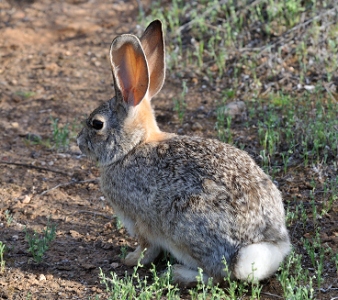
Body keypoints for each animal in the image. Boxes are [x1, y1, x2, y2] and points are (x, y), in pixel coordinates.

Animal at [76, 19, 290, 286]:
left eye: (96, 124)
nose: (78, 142)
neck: (133, 147)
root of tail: (266, 246)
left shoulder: (140, 221)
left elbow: (146, 247)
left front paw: (131, 259)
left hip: (187, 227)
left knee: (217, 275)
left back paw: (177, 273)